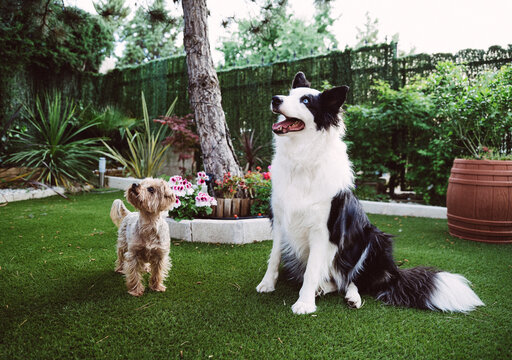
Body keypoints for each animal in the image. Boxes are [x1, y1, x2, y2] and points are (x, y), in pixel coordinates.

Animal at [256, 71, 484, 314]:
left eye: (306, 101)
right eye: (290, 94)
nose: (275, 99)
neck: (302, 159)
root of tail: (393, 274)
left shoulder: (323, 230)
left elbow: (311, 270)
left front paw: (305, 303)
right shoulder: (281, 220)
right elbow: (274, 257)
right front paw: (267, 284)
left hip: (373, 238)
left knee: (353, 280)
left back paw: (350, 296)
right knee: (339, 281)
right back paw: (324, 288)